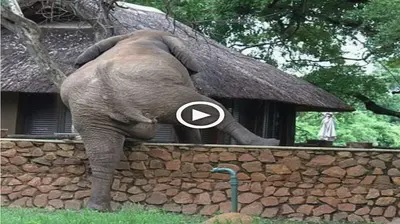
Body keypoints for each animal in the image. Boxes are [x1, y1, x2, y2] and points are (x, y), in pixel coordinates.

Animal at [59, 28, 280, 211]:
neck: (138, 36)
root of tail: (108, 84)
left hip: (91, 111)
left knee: (104, 154)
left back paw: (98, 209)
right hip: (158, 92)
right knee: (203, 106)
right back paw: (268, 142)